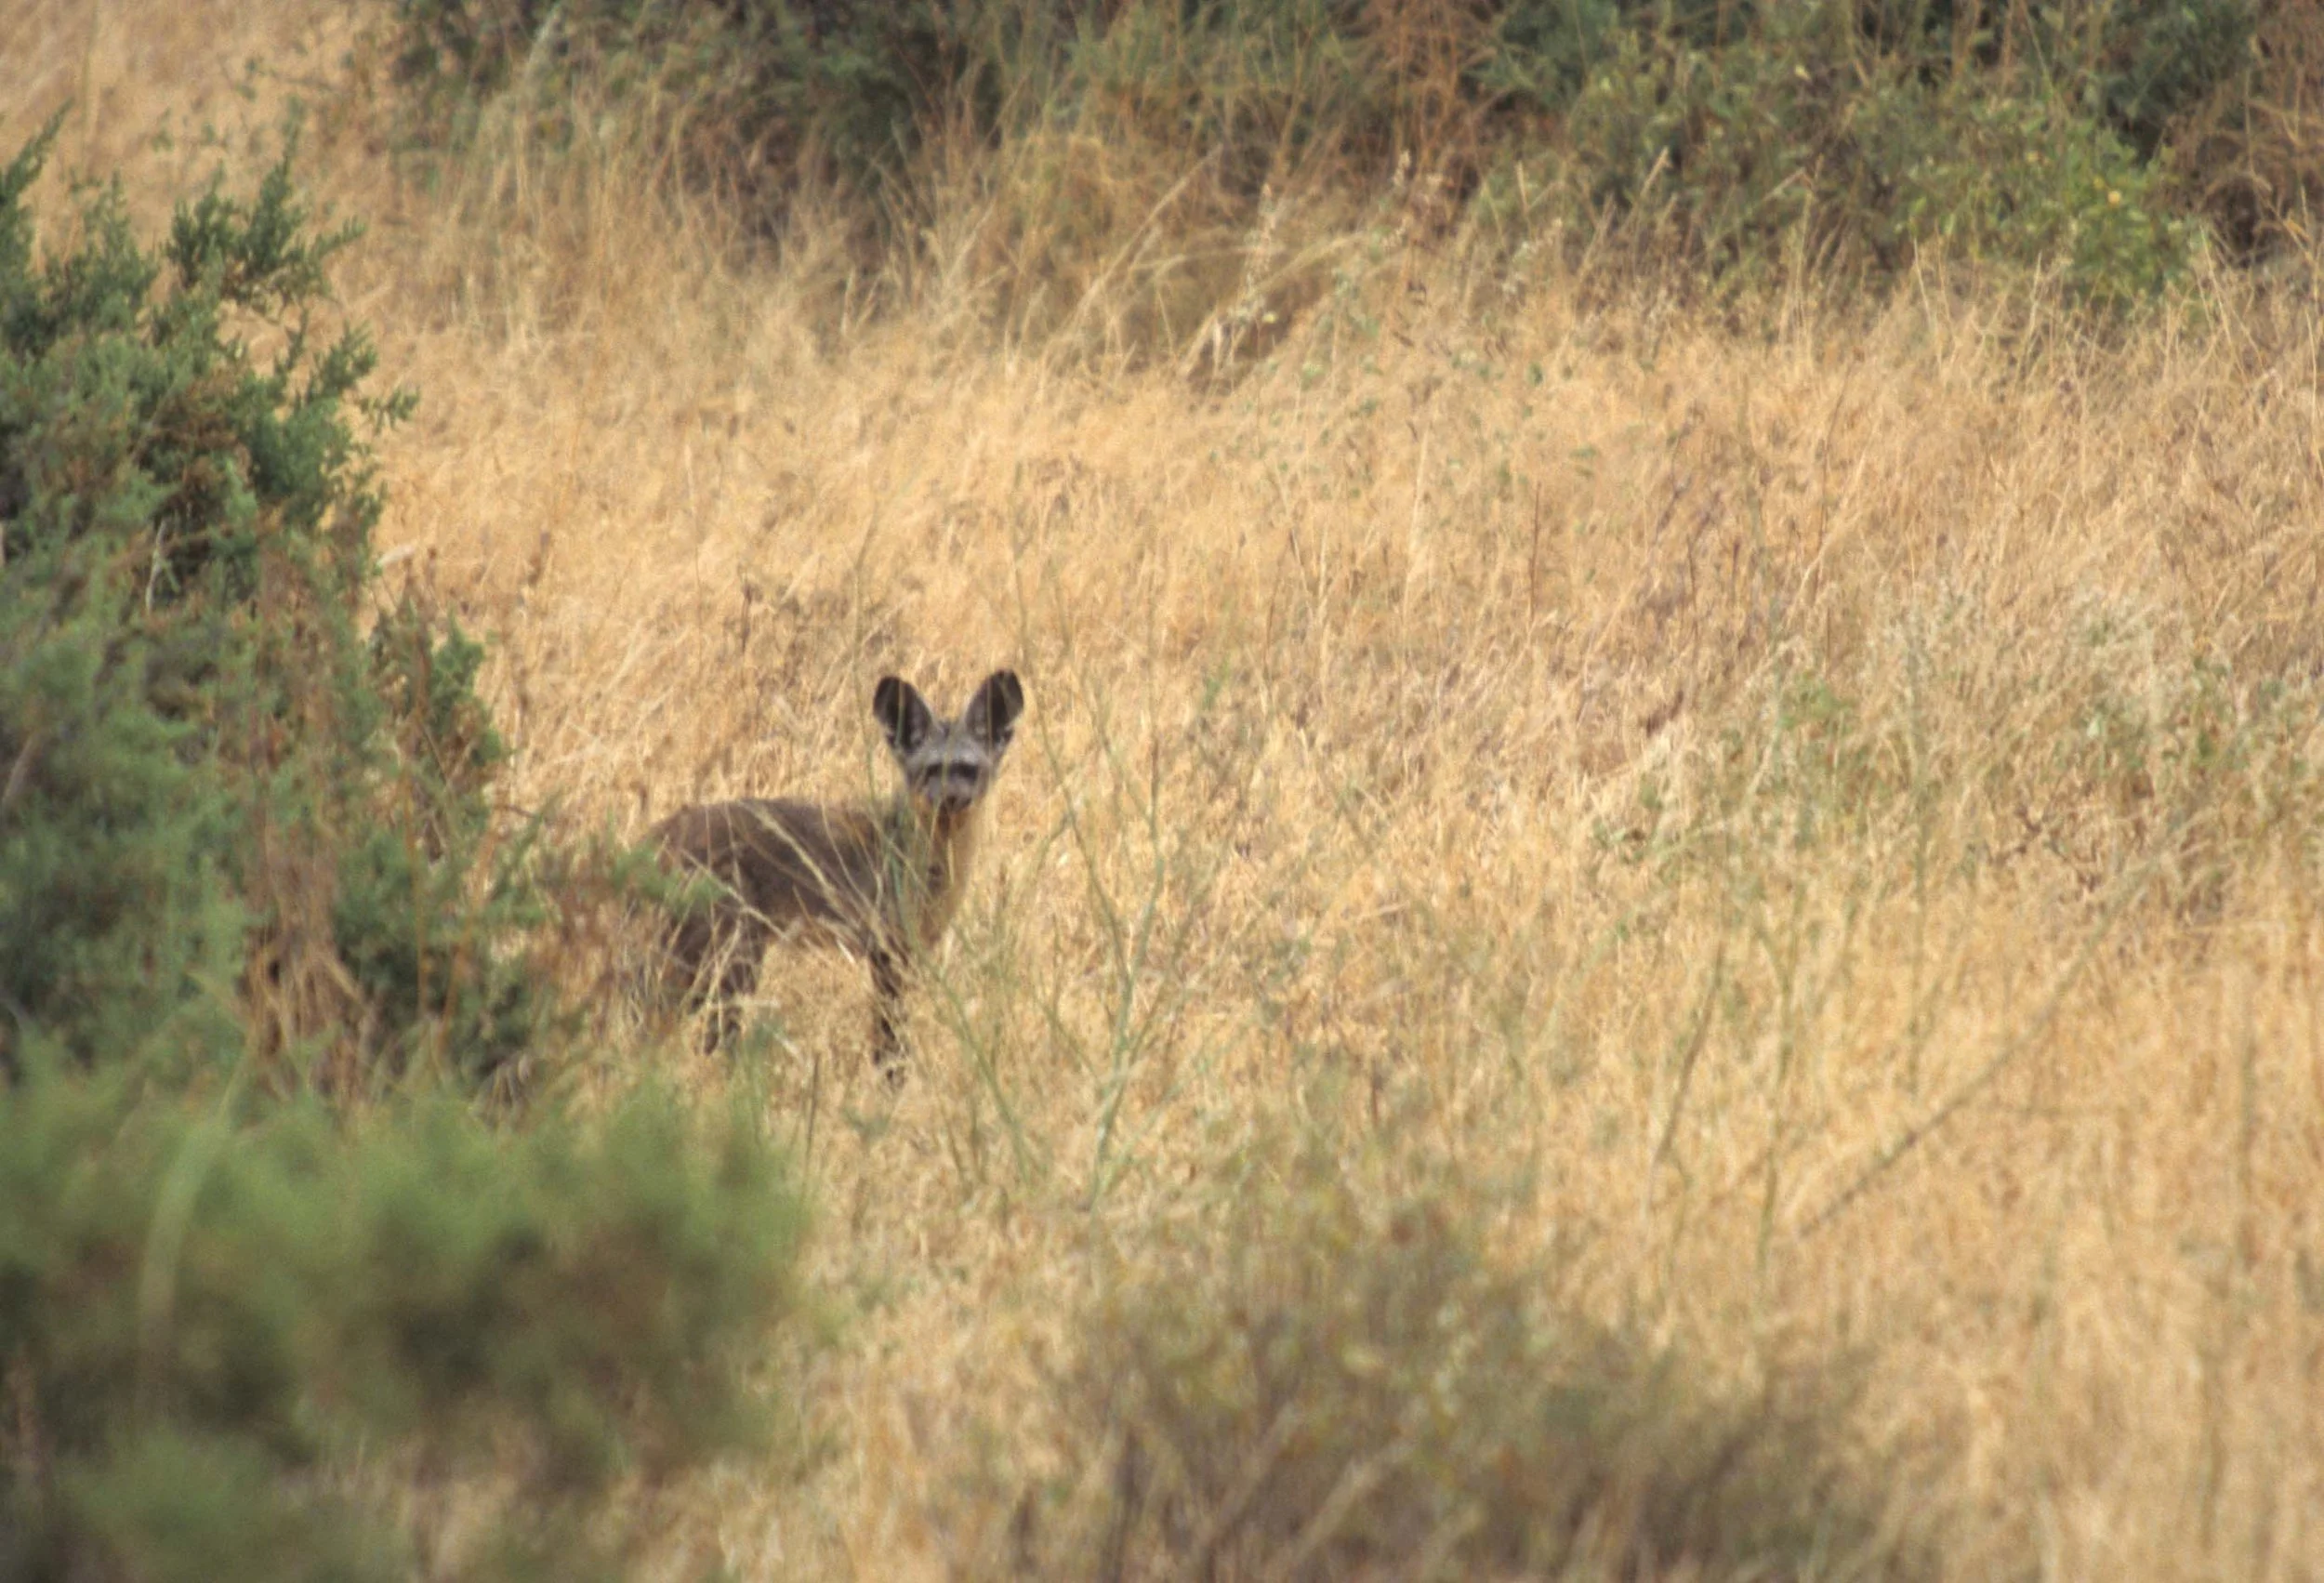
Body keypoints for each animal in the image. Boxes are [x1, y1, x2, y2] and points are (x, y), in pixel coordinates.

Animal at [650, 669, 1025, 1072]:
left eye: (968, 770)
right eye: (930, 770)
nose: (950, 799)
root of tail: (665, 831)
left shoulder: (907, 953)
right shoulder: (887, 952)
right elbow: (890, 1046)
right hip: (727, 963)